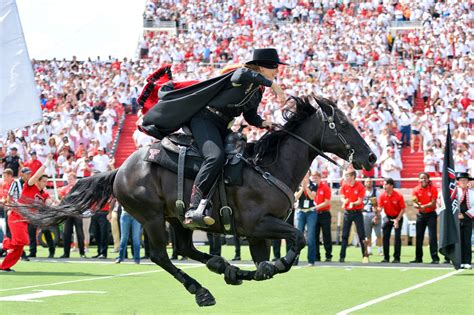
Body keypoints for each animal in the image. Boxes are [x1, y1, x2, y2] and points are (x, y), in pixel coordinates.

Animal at [17, 95, 374, 306]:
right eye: (343, 124)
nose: (370, 157)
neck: (269, 167)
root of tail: (120, 168)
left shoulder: (259, 234)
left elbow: (267, 264)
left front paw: (255, 270)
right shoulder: (260, 225)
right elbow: (296, 241)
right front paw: (276, 263)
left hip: (177, 217)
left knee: (185, 248)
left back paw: (226, 269)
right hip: (152, 218)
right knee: (162, 256)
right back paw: (202, 289)